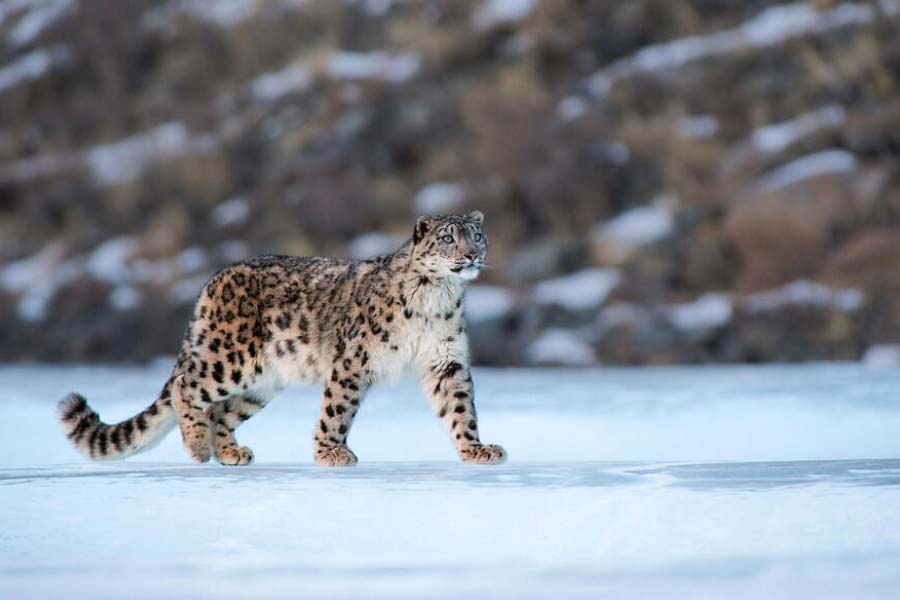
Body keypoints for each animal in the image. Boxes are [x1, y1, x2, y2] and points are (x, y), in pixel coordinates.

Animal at [58, 211, 507, 467]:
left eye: (476, 235)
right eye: (448, 238)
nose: (471, 255)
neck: (438, 297)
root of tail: (213, 281)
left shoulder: (445, 360)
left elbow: (460, 409)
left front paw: (476, 448)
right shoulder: (354, 360)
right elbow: (337, 409)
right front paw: (330, 453)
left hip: (261, 382)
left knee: (221, 412)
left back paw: (231, 453)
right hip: (228, 360)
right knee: (187, 385)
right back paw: (199, 447)